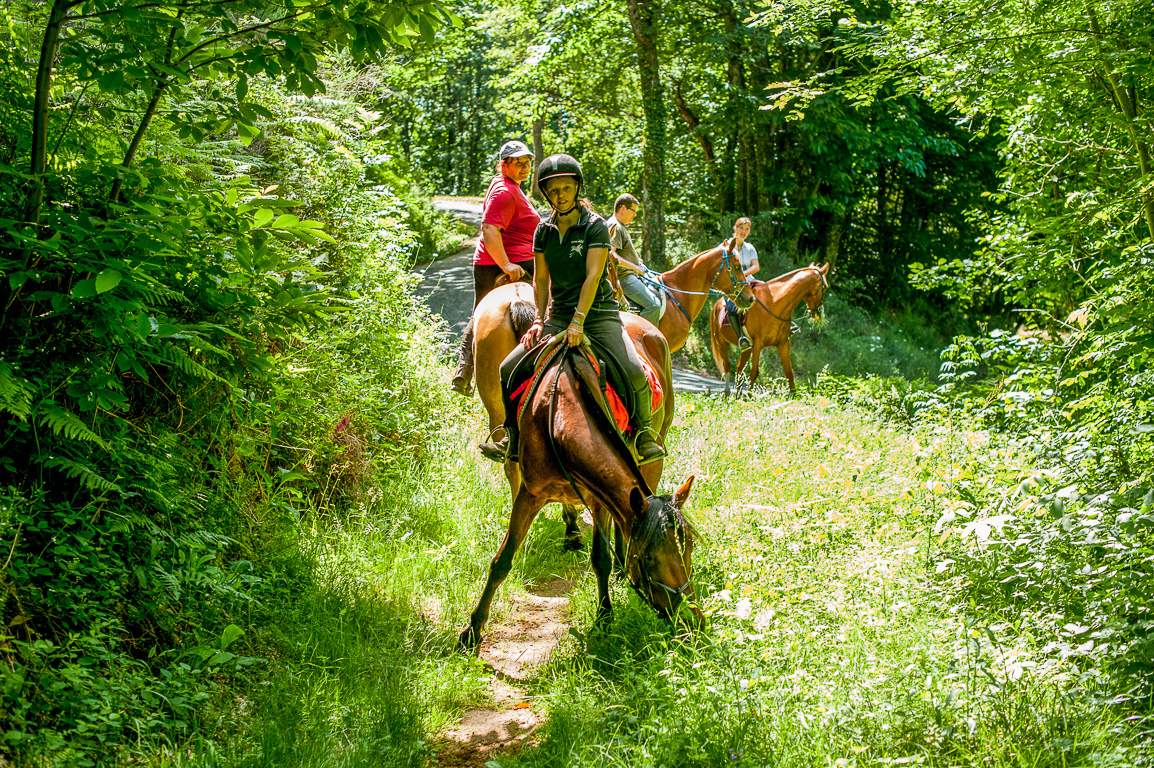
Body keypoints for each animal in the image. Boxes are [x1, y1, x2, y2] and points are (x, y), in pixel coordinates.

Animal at [456, 339, 692, 645]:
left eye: (689, 550)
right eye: (649, 559)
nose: (689, 616)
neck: (559, 420)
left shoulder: (599, 500)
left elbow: (601, 559)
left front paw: (604, 618)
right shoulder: (529, 495)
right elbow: (502, 560)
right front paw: (472, 631)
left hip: (653, 458)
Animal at [706, 262, 826, 394]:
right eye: (824, 287)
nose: (819, 311)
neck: (775, 302)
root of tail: (715, 306)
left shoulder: (783, 343)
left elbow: (789, 374)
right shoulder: (758, 344)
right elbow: (754, 373)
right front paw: (749, 397)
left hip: (746, 348)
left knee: (739, 369)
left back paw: (736, 396)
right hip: (722, 343)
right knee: (727, 366)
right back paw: (727, 393)